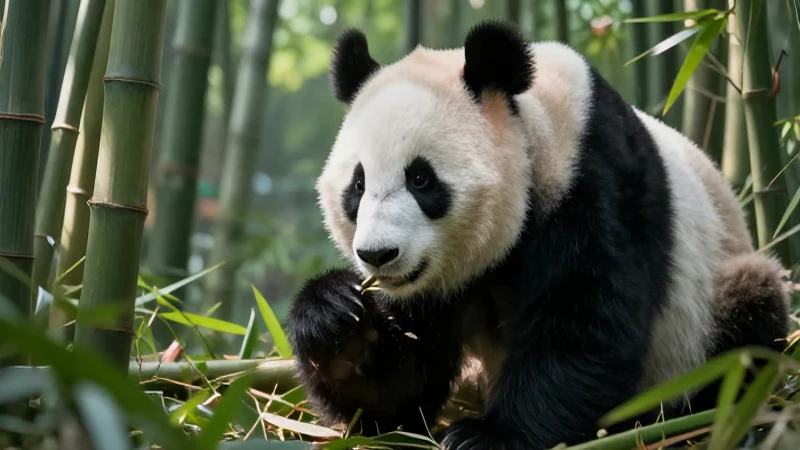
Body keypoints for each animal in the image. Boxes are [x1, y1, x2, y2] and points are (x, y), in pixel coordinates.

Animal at [286, 20, 791, 449]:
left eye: (421, 179)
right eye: (357, 185)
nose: (377, 254)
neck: (532, 124)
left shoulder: (595, 182)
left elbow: (581, 322)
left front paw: (486, 436)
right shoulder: (427, 288)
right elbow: (397, 395)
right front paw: (339, 325)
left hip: (712, 294)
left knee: (745, 327)